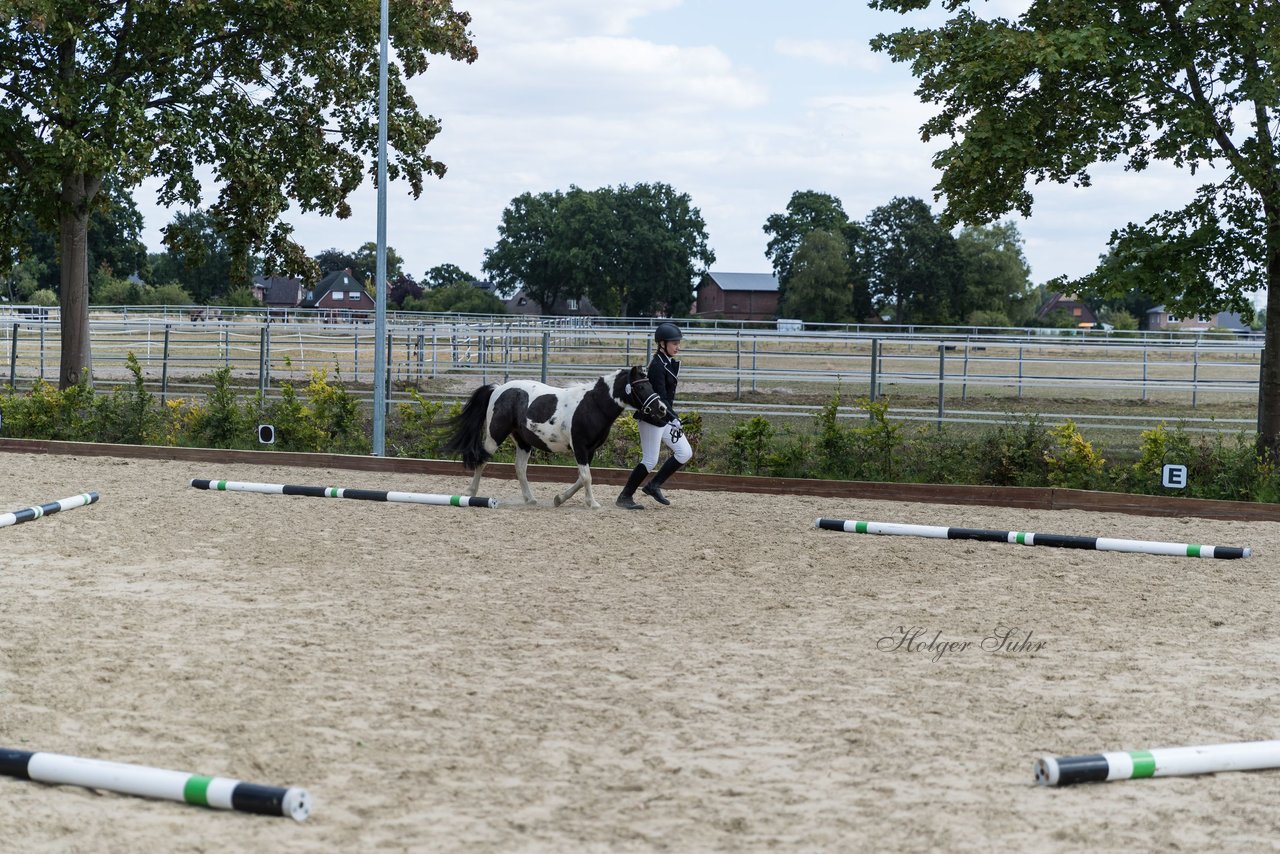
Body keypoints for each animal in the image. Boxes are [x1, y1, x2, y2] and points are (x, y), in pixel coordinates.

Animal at [442, 366, 670, 507]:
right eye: (641, 386)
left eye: (650, 384)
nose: (662, 409)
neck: (593, 405)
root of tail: (498, 389)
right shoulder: (580, 448)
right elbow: (587, 477)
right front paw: (593, 503)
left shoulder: (590, 451)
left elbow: (582, 478)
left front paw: (559, 498)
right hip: (494, 436)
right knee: (482, 460)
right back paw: (470, 492)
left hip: (523, 442)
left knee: (520, 469)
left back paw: (530, 499)